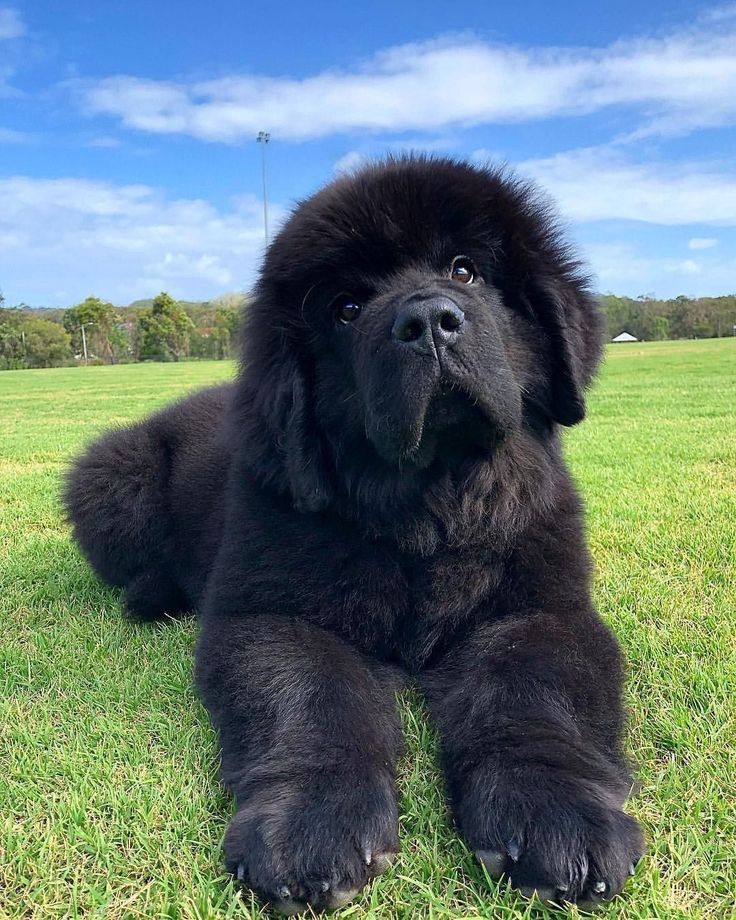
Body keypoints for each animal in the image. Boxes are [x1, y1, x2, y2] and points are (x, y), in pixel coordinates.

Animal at [67, 158, 644, 912]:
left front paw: (556, 811)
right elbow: (314, 694)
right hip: (113, 476)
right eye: (346, 307)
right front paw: (312, 826)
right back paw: (152, 596)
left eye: (465, 270)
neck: (428, 504)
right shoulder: (276, 613)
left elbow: (534, 691)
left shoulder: (541, 608)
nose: (428, 321)